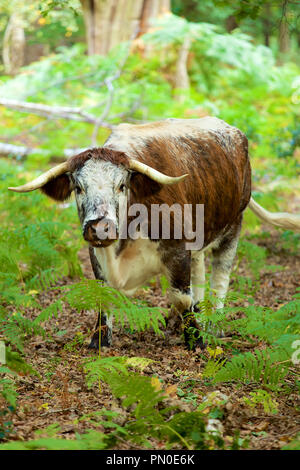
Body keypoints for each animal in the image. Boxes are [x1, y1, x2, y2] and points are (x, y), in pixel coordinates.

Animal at [9, 117, 300, 348]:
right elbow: (103, 297)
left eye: (122, 185)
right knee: (200, 274)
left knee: (220, 278)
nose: (100, 228)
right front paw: (99, 341)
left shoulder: (177, 249)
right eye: (78, 188)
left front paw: (195, 340)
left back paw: (213, 325)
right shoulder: (96, 255)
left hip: (233, 226)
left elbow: (181, 297)